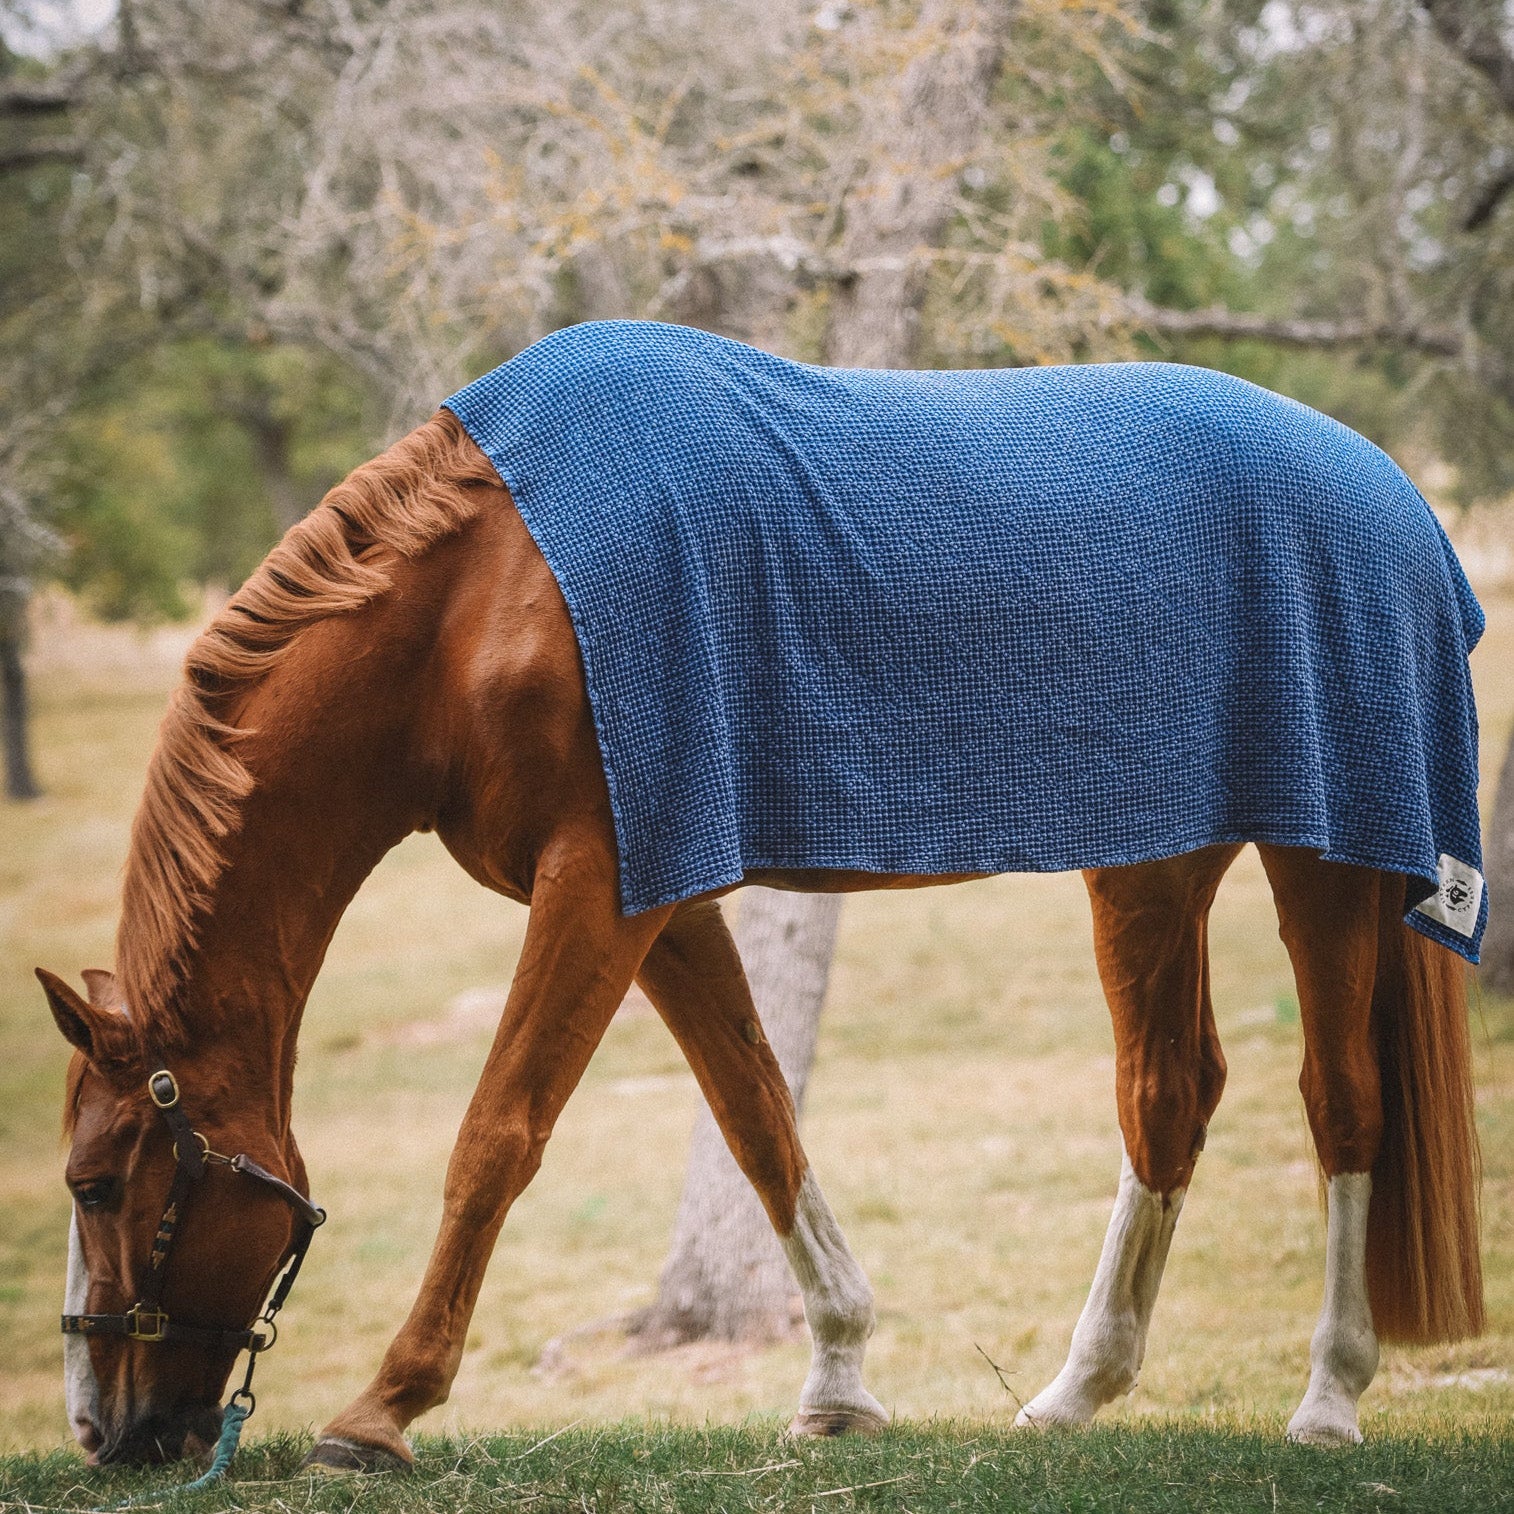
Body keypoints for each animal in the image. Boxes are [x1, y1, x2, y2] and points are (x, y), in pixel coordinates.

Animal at [41, 333, 1484, 1470]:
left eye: (97, 1183)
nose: (103, 1433)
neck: (479, 601)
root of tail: (1389, 494)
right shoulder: (662, 896)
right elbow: (754, 1113)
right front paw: (837, 1379)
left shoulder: (597, 893)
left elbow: (495, 1135)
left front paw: (382, 1407)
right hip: (1154, 860)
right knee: (1170, 1093)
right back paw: (1077, 1392)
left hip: (1322, 865)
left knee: (1336, 1100)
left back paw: (1324, 1399)